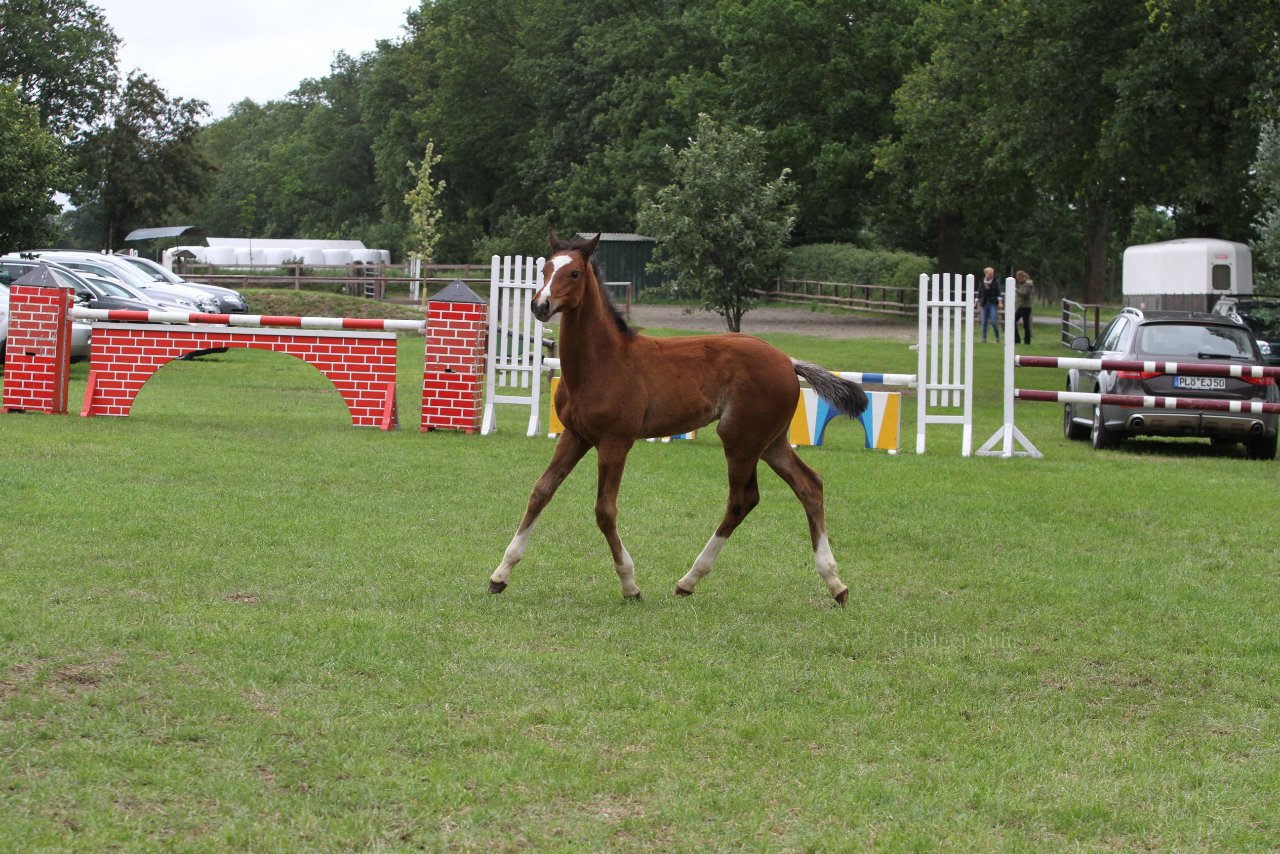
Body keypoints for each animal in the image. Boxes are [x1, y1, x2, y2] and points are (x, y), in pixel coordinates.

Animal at [483, 234, 865, 604]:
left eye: (574, 273)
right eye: (545, 269)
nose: (540, 305)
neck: (601, 361)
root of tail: (788, 361)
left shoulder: (614, 442)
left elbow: (605, 510)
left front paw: (630, 585)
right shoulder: (574, 436)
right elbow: (541, 491)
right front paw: (500, 575)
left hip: (740, 441)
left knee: (742, 499)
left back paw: (688, 580)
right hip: (771, 442)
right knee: (809, 484)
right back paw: (836, 584)